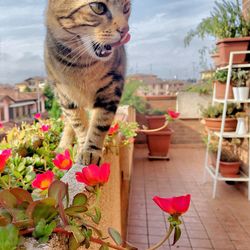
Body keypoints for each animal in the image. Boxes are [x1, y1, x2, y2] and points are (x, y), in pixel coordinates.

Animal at [45, 0, 131, 166]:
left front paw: (91, 150)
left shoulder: (111, 89)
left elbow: (99, 124)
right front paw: (83, 144)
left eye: (126, 8)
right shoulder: (65, 96)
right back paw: (64, 145)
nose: (125, 30)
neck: (82, 65)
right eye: (98, 7)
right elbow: (78, 123)